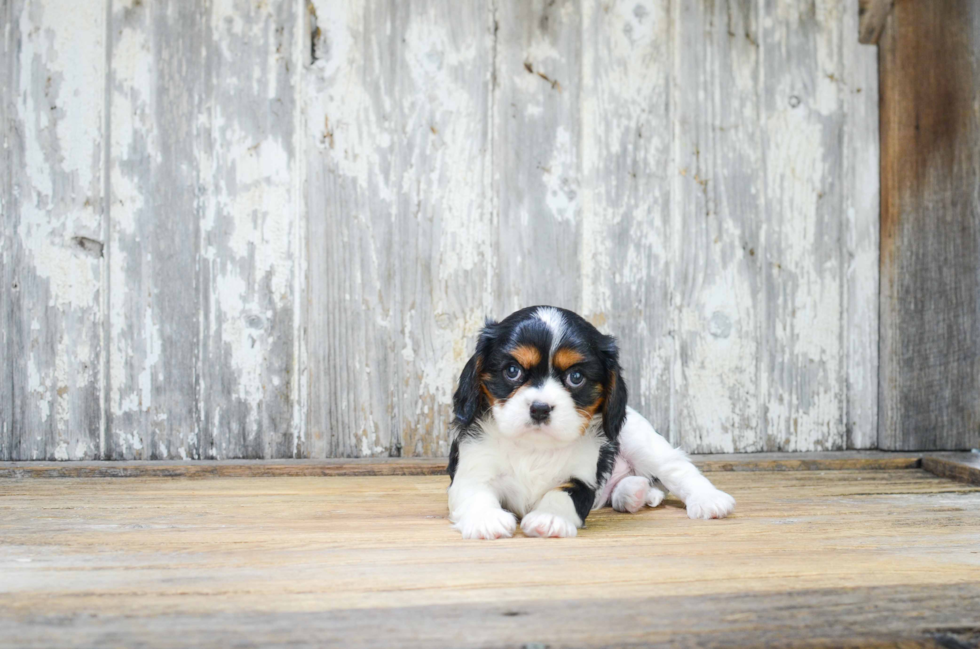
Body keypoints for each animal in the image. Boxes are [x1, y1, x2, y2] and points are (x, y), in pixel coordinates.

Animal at [448, 306, 732, 540]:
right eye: (512, 371)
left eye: (576, 377)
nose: (540, 408)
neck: (535, 447)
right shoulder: (473, 467)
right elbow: (475, 492)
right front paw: (486, 520)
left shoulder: (581, 479)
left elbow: (561, 493)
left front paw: (549, 519)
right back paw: (634, 493)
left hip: (638, 439)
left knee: (675, 467)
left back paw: (708, 499)